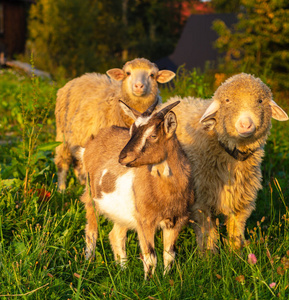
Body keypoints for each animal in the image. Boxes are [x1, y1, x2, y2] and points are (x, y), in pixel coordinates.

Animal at [54, 57, 174, 191]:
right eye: (128, 73)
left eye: (152, 75)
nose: (138, 86)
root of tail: (80, 77)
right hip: (63, 135)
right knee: (63, 162)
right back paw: (61, 189)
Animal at [77, 99, 192, 278]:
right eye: (131, 131)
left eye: (153, 135)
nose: (122, 157)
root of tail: (90, 144)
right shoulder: (145, 220)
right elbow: (150, 257)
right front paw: (150, 281)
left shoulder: (176, 220)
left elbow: (169, 255)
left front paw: (167, 279)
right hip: (90, 197)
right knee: (91, 232)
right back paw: (88, 264)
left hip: (121, 212)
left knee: (115, 235)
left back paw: (123, 270)